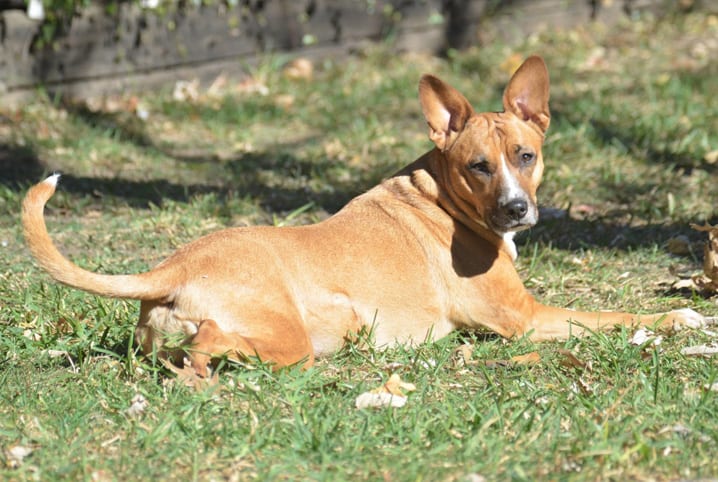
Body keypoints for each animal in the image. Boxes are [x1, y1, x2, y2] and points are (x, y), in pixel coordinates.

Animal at [23, 54, 708, 374]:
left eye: (526, 155)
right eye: (478, 166)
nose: (517, 210)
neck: (443, 198)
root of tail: (172, 267)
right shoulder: (527, 319)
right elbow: (616, 316)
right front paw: (675, 320)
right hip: (292, 335)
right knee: (211, 344)